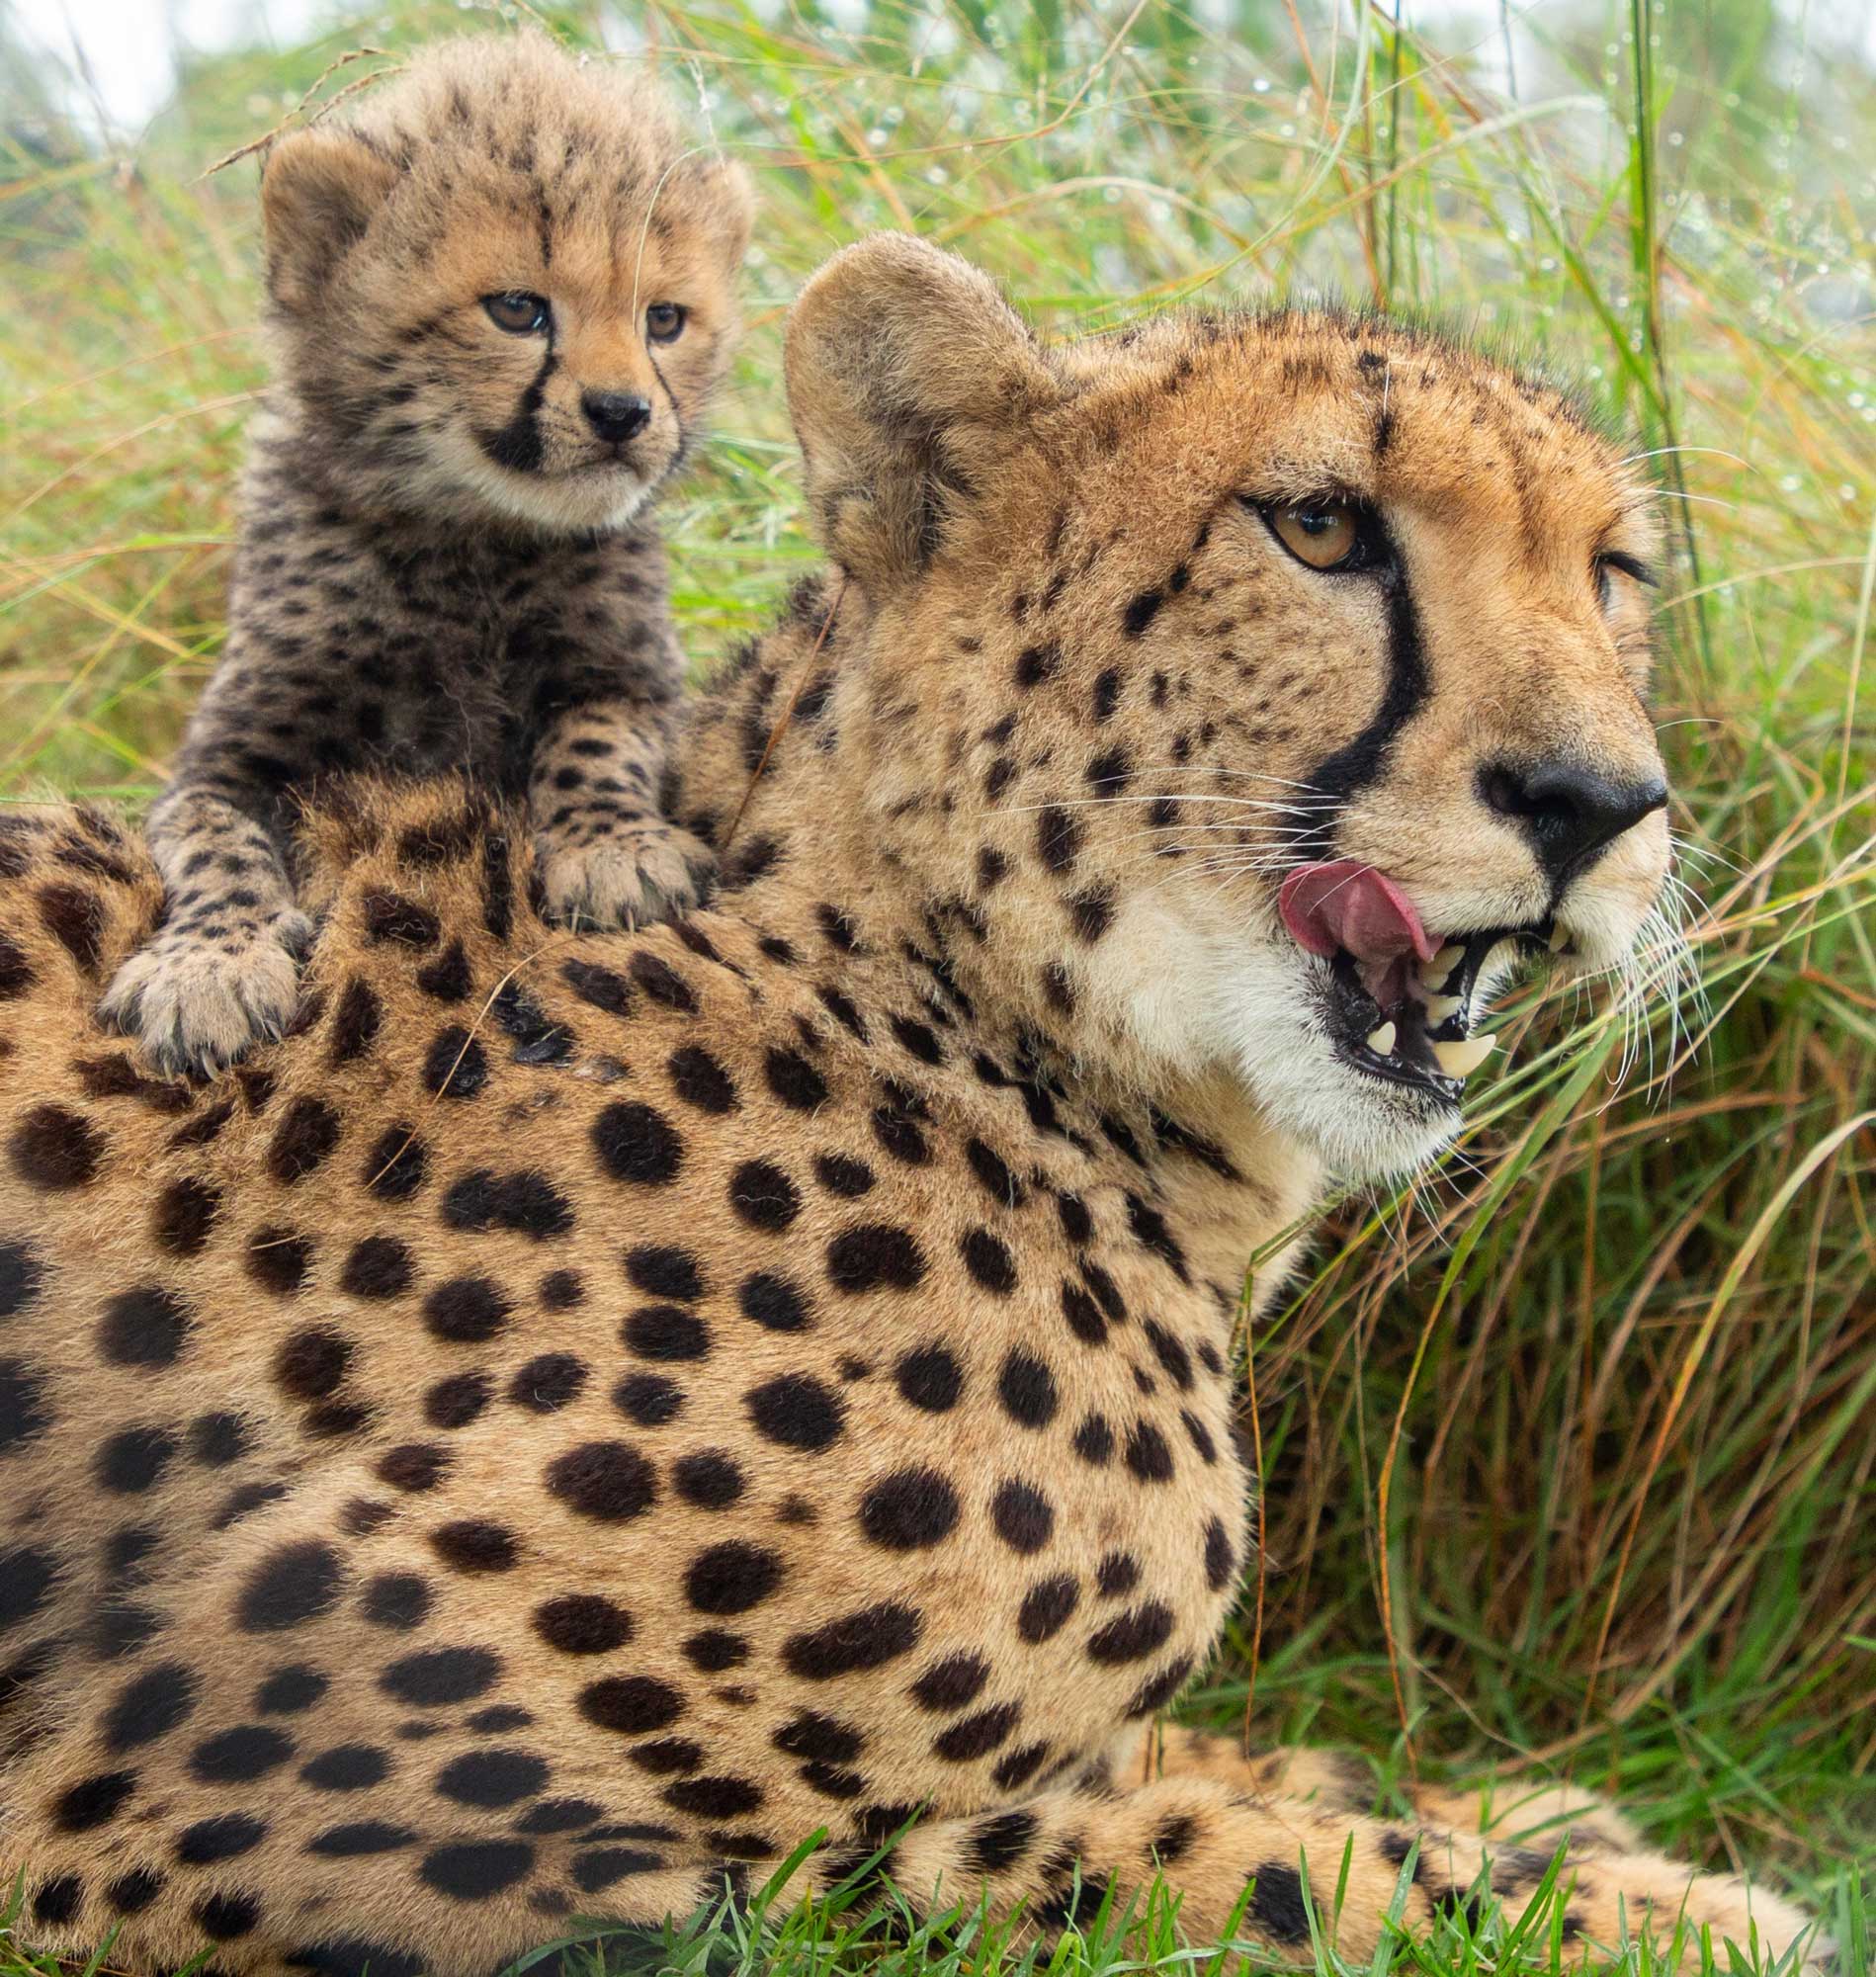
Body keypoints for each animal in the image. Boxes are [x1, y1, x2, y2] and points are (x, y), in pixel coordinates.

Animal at [0, 233, 1830, 1975]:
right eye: (1317, 527)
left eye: (1610, 574)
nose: (1600, 803)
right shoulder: (248, 1829)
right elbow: (1217, 1867)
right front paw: (1675, 1912)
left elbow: (1212, 1762)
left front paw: (1550, 1810)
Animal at [99, 32, 753, 1079]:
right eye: (519, 309)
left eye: (664, 320)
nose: (623, 414)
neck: (464, 541)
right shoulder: (221, 756)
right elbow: (213, 842)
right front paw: (207, 967)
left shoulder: (632, 676)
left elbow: (595, 739)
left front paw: (615, 848)